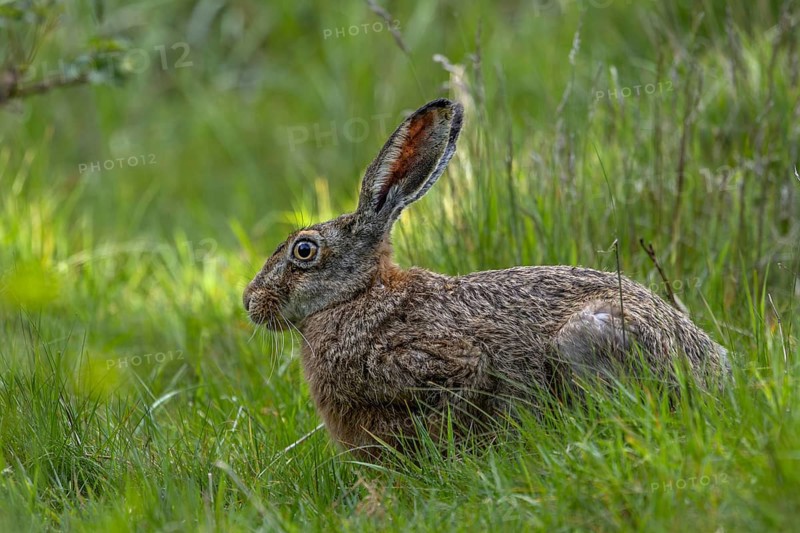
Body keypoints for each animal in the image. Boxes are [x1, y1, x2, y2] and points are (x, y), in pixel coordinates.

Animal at [243, 98, 731, 460]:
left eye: (304, 250)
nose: (249, 301)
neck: (360, 296)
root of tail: (714, 374)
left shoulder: (450, 366)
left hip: (584, 338)